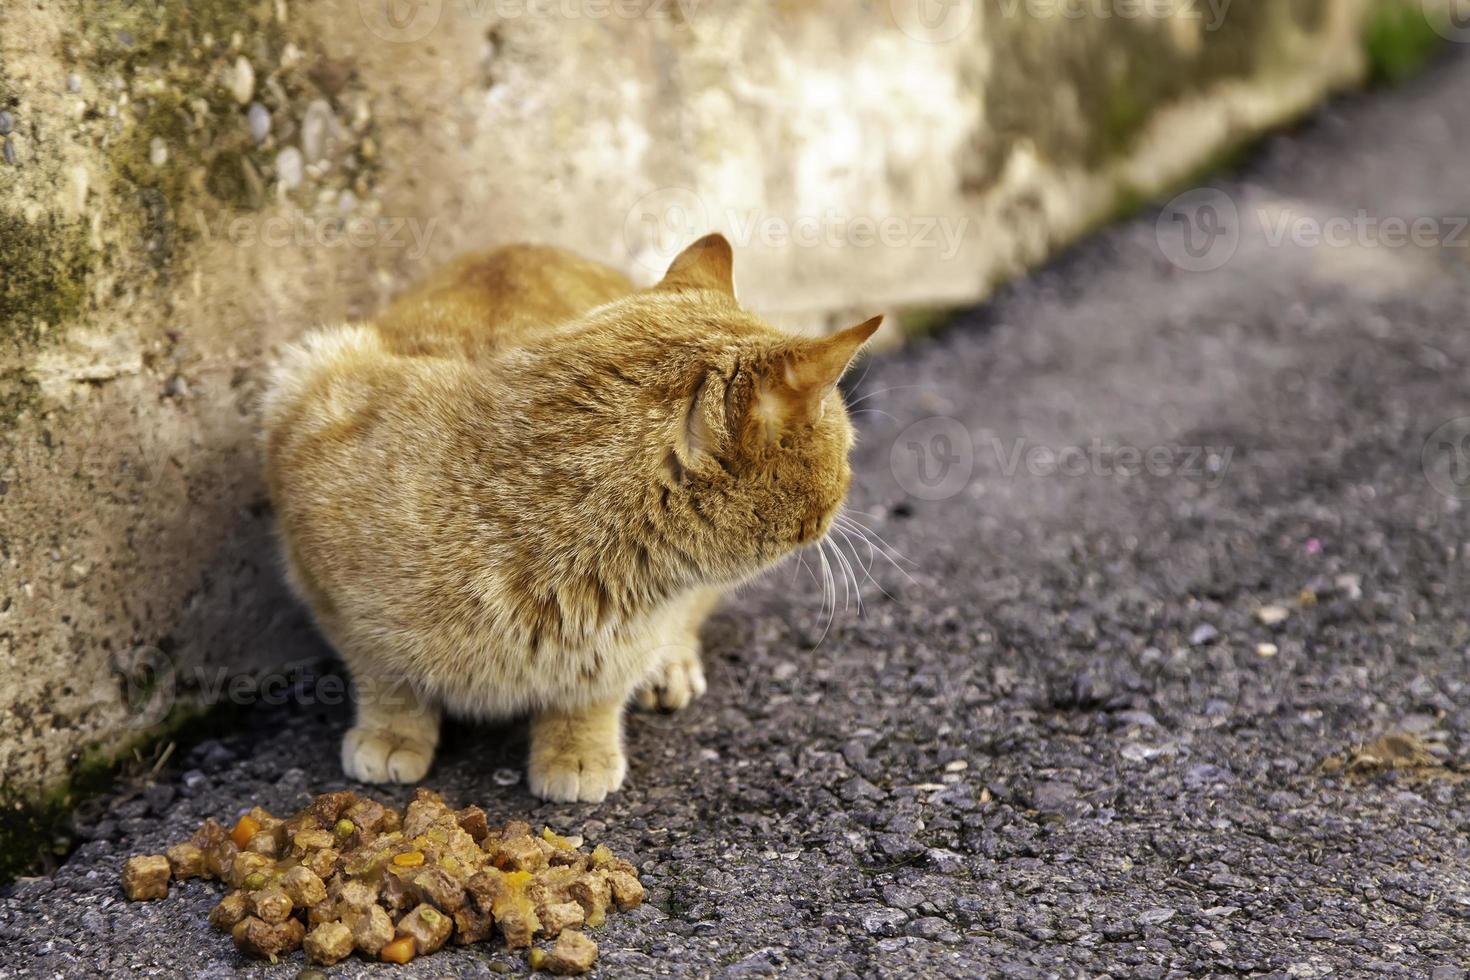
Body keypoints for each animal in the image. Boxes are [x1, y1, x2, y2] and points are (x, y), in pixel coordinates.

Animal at [263, 233, 876, 799]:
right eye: (847, 449)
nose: (852, 484)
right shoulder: (319, 554)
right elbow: (384, 675)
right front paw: (391, 733)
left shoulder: (627, 642)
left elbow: (592, 691)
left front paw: (579, 751)